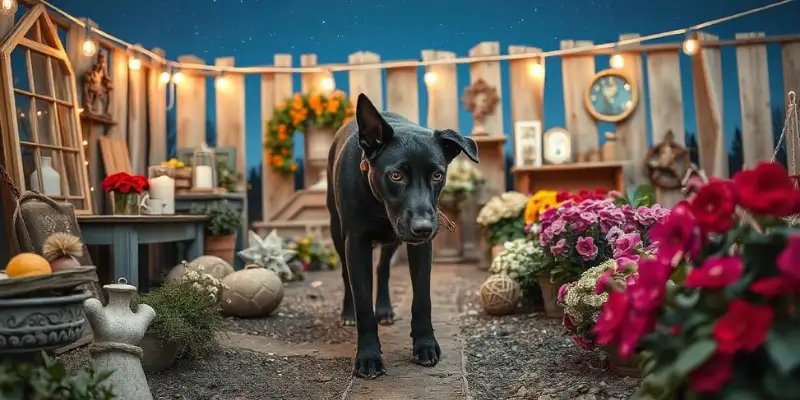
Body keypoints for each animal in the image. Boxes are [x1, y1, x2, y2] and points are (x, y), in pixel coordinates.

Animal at [326, 93, 478, 378]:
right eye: (395, 175)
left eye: (437, 174)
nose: (424, 228)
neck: (378, 203)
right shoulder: (356, 243)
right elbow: (363, 304)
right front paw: (368, 356)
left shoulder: (421, 246)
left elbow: (422, 299)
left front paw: (425, 344)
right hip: (336, 231)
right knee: (345, 275)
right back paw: (347, 313)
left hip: (394, 240)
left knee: (383, 267)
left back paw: (385, 309)